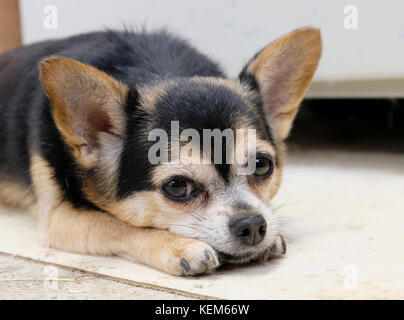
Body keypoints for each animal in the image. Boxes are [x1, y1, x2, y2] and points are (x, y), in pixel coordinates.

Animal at [0, 26, 322, 276]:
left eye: (262, 164)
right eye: (177, 186)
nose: (253, 225)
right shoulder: (58, 217)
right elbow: (115, 224)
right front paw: (179, 246)